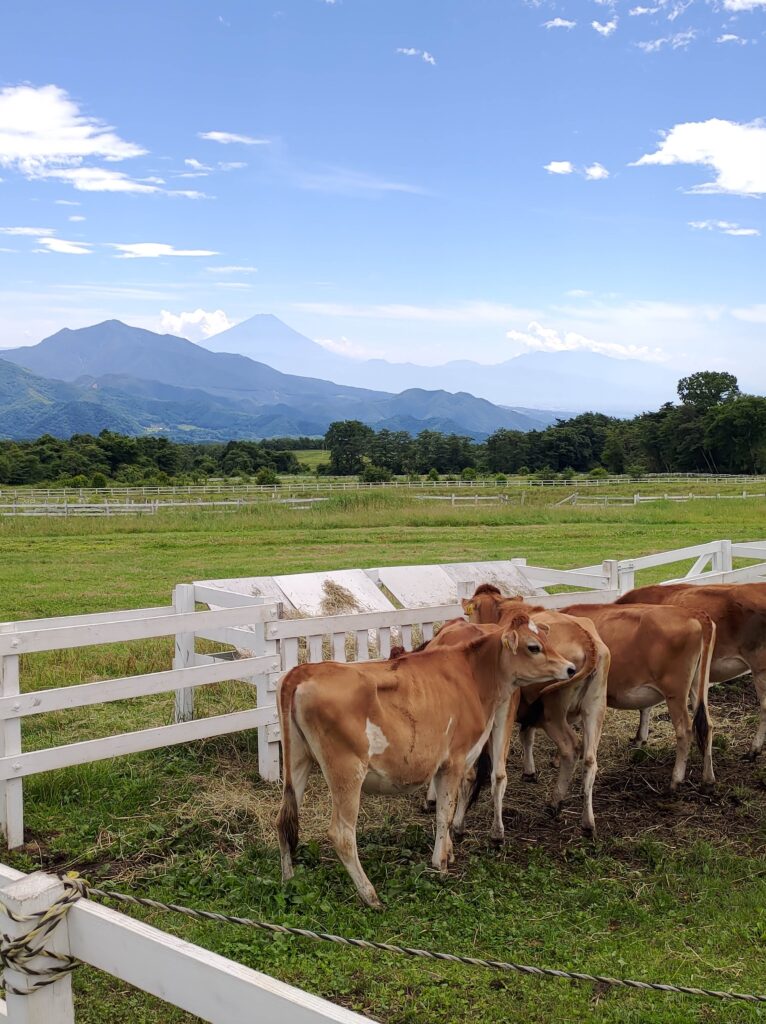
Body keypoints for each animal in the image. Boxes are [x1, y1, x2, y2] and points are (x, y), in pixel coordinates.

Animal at [276, 614, 573, 905]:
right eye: (533, 646)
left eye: (546, 638)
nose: (570, 668)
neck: (473, 675)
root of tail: (302, 671)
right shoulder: (453, 761)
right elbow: (444, 814)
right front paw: (440, 863)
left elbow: (449, 807)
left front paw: (448, 851)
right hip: (346, 770)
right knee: (342, 834)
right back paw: (370, 896)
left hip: (299, 760)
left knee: (283, 819)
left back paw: (289, 879)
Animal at [460, 589, 610, 835]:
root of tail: (585, 638)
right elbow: (526, 735)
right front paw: (529, 771)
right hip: (595, 707)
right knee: (589, 759)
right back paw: (588, 822)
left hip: (553, 712)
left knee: (571, 747)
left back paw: (555, 802)